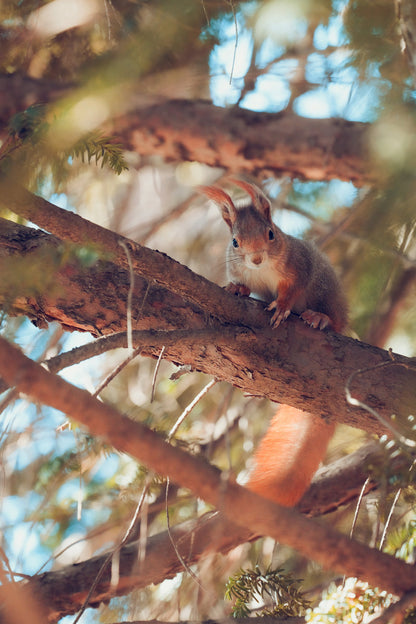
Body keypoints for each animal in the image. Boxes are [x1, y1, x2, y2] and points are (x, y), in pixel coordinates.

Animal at [199, 177, 348, 508]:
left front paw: (281, 307)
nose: (256, 258)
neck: (263, 270)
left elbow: (291, 292)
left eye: (271, 233)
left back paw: (320, 318)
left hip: (325, 288)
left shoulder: (298, 268)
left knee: (332, 318)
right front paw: (236, 289)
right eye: (235, 242)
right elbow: (244, 285)